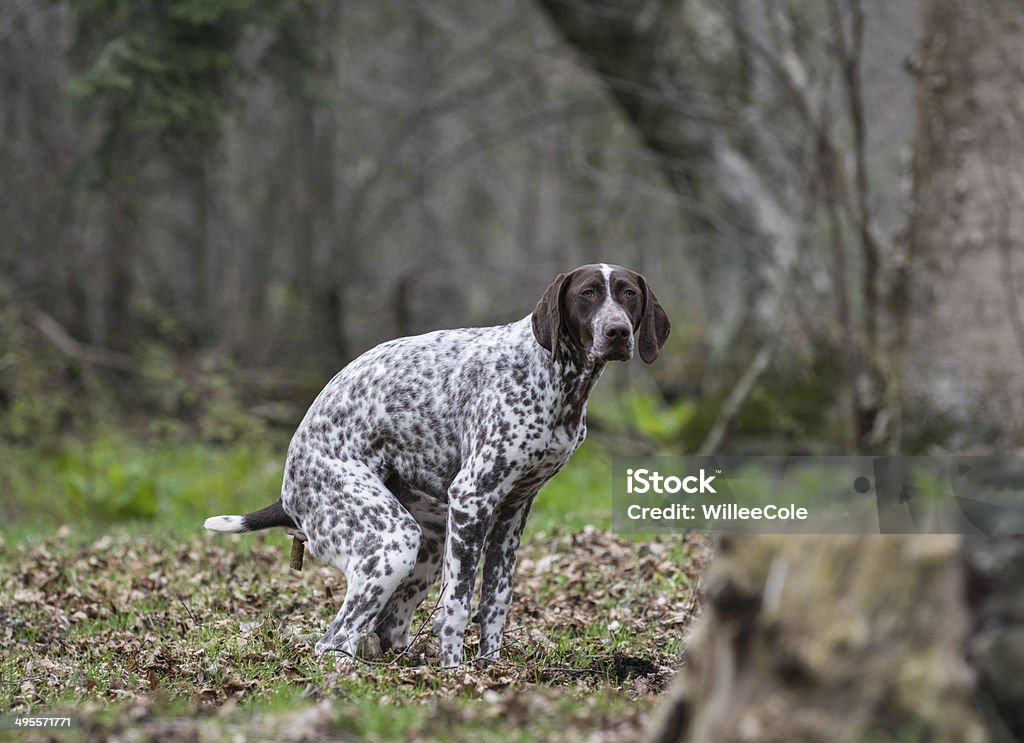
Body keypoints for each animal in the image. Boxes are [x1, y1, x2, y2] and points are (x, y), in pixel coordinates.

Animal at [207, 266, 671, 671]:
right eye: (587, 294)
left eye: (628, 294)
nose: (617, 332)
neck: (555, 378)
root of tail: (287, 493)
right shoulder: (472, 498)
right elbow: (457, 606)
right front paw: (455, 674)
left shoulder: (511, 513)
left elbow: (494, 603)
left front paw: (489, 668)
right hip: (392, 542)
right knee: (334, 640)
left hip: (429, 542)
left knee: (385, 630)